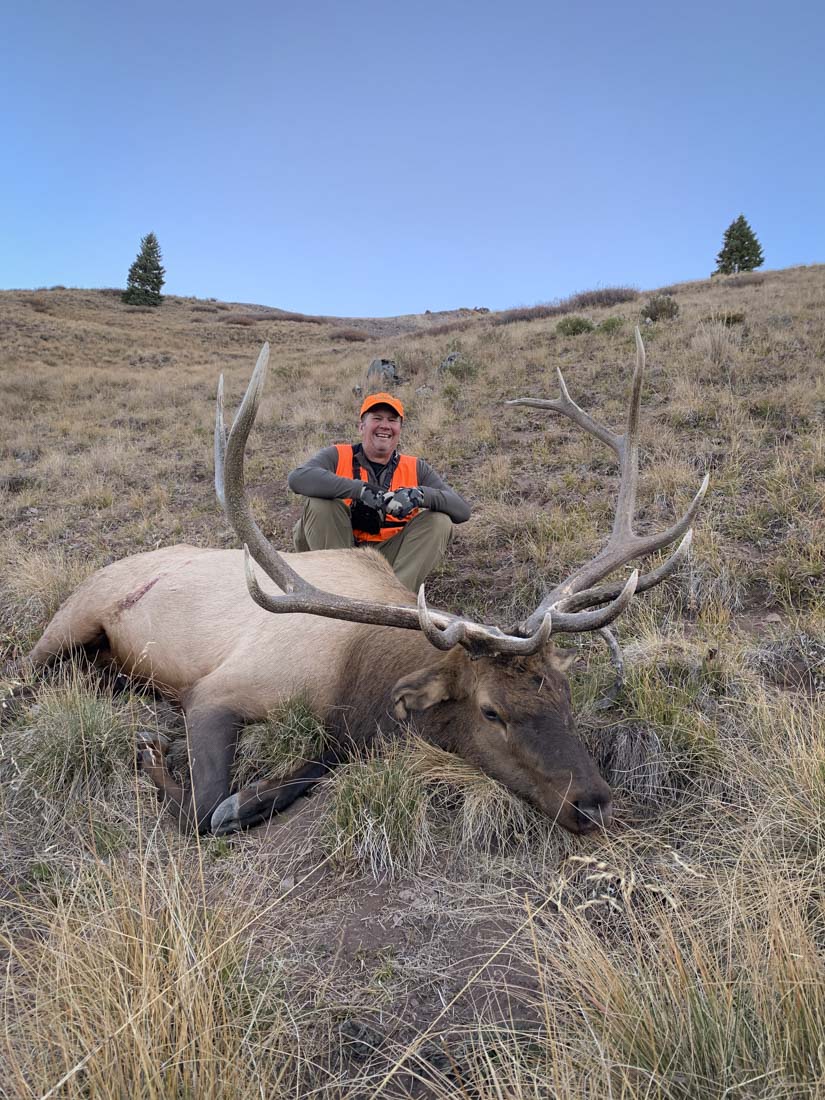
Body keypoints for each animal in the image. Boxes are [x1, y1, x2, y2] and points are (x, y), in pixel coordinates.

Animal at [25, 330, 707, 836]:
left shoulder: (348, 729)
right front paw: (154, 757)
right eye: (492, 711)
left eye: (564, 695)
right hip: (71, 621)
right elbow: (205, 810)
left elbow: (310, 768)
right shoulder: (217, 690)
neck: (356, 675)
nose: (594, 802)